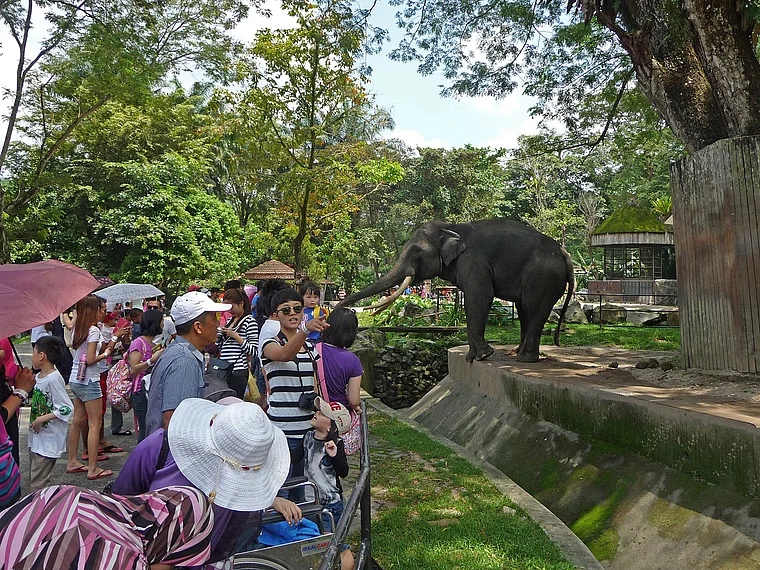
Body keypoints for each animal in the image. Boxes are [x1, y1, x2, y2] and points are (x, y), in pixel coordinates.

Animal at [338, 219, 575, 362]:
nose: (341, 309)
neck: (451, 226)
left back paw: (523, 359)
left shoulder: (474, 261)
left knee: (534, 308)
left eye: (416, 251)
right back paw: (518, 354)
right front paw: (471, 358)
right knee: (524, 307)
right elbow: (471, 302)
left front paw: (482, 356)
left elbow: (480, 297)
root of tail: (564, 254)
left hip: (543, 276)